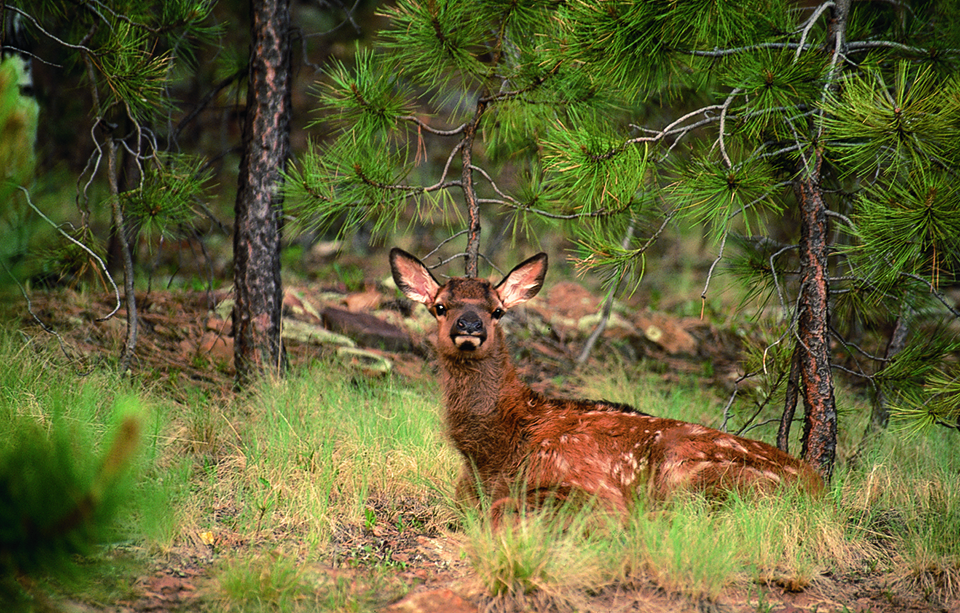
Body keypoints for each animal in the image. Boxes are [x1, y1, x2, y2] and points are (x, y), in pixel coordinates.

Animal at [389, 247, 823, 519]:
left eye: (497, 310)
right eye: (440, 306)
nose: (469, 325)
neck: (495, 451)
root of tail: (820, 486)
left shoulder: (593, 487)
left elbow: (501, 508)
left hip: (687, 475)